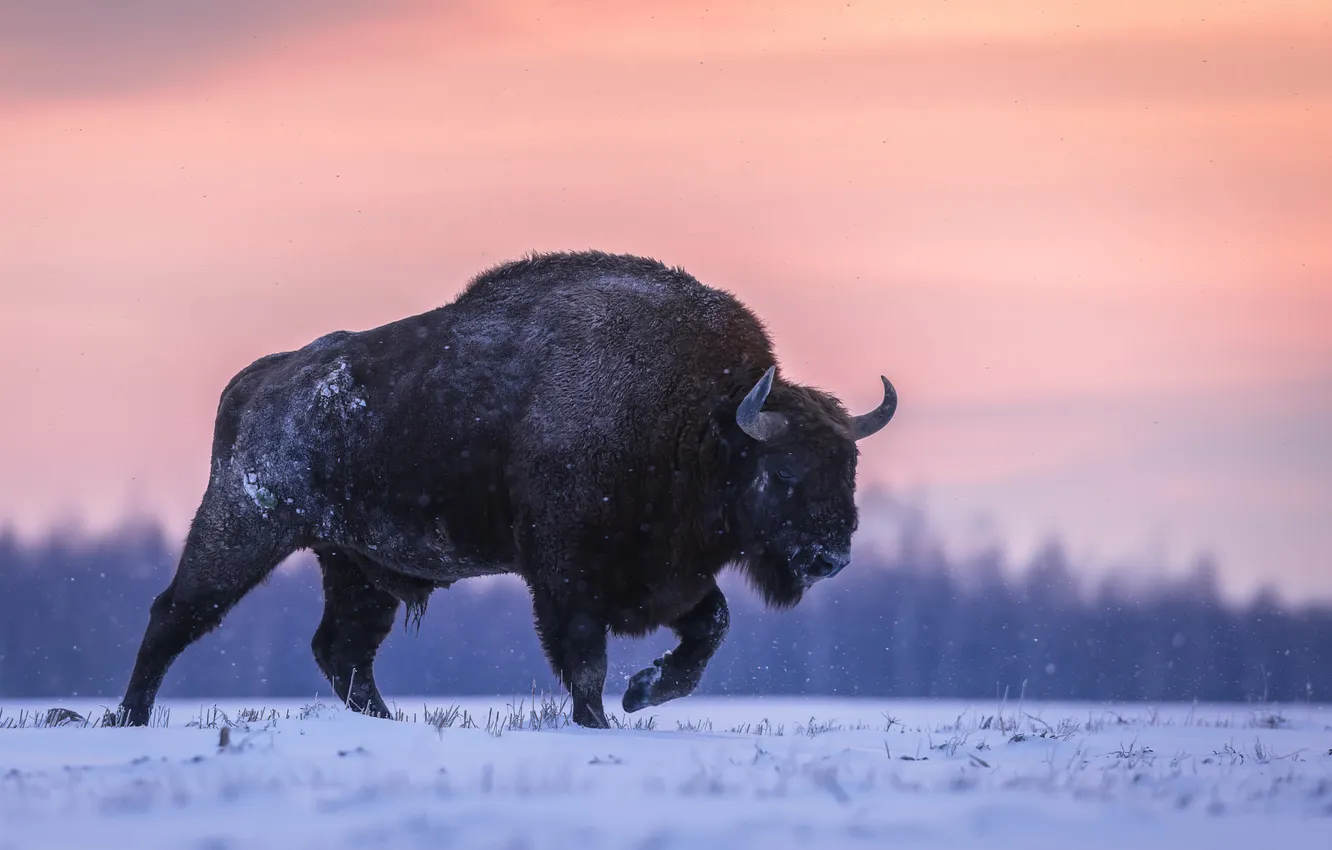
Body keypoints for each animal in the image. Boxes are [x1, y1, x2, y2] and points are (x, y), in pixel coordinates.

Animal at [115, 251, 897, 728]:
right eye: (785, 472)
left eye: (849, 469)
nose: (831, 557)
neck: (694, 419)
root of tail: (257, 382)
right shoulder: (564, 577)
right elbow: (585, 662)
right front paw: (604, 718)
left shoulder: (671, 577)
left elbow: (709, 630)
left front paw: (644, 693)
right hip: (244, 529)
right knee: (174, 614)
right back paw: (127, 718)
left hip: (355, 565)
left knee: (342, 650)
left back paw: (390, 722)